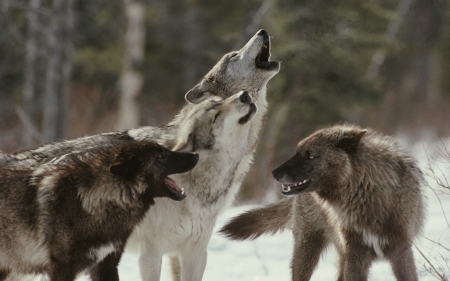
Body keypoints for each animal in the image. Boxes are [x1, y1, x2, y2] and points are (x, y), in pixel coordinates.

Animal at [221, 123, 426, 280]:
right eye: (297, 152)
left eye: (310, 155)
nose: (274, 172)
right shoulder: (356, 256)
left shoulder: (401, 252)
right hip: (307, 251)